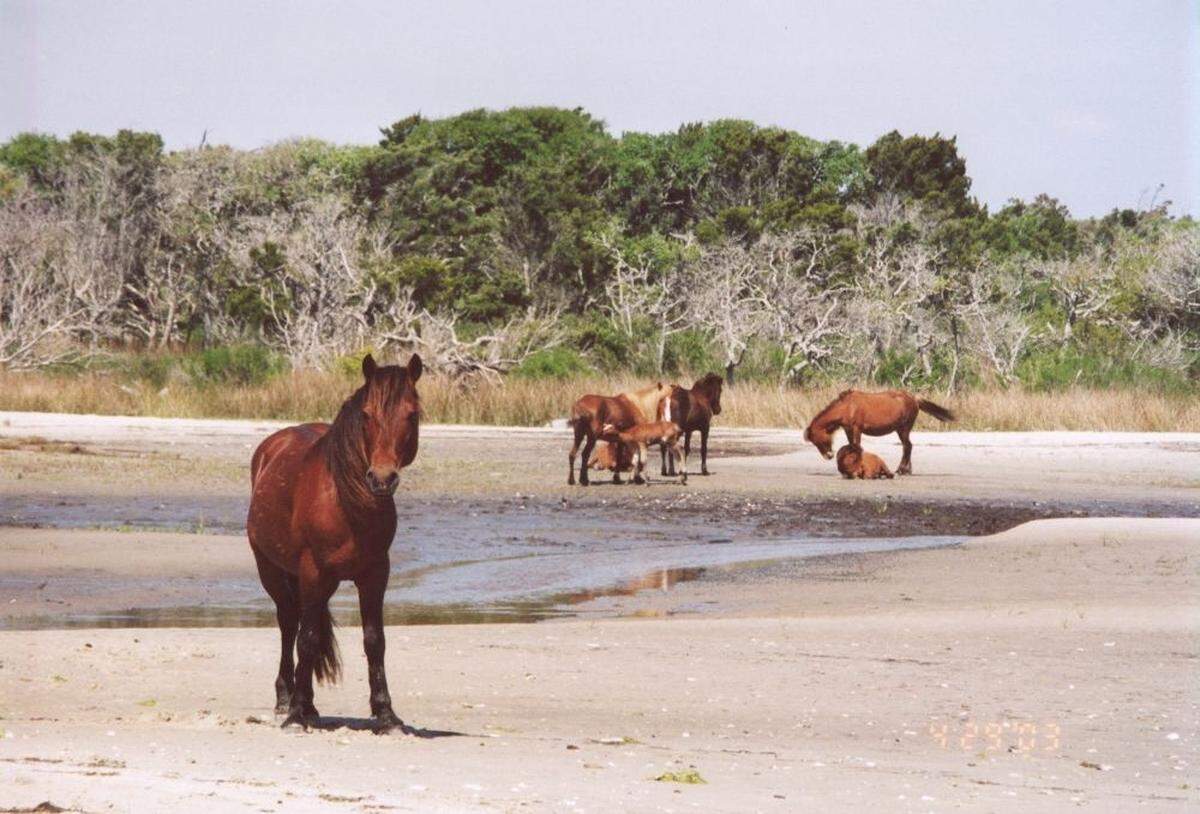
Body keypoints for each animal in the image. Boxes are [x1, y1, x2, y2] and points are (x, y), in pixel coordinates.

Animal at [246, 353, 422, 731]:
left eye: (412, 414)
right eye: (367, 415)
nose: (382, 479)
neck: (347, 503)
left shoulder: (375, 575)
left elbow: (374, 640)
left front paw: (386, 714)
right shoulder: (314, 572)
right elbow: (308, 638)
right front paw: (297, 713)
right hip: (272, 570)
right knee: (289, 624)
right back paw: (287, 699)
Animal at [804, 389, 954, 475]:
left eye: (818, 440)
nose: (828, 456)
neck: (847, 406)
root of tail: (914, 398)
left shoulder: (856, 429)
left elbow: (857, 447)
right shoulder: (848, 430)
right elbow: (851, 447)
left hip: (904, 429)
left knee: (907, 446)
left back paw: (901, 470)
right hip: (901, 429)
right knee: (908, 446)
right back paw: (907, 470)